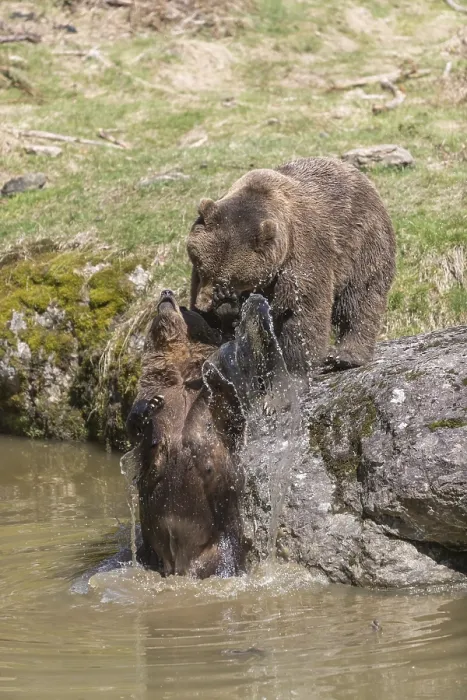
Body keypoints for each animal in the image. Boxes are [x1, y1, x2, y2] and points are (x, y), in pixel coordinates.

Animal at [126, 289, 245, 578]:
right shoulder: (152, 389)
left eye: (185, 307)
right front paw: (146, 411)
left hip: (221, 547)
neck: (179, 375)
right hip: (150, 552)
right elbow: (139, 435)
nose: (166, 293)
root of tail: (182, 563)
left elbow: (229, 409)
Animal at [187, 157, 396, 374]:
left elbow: (300, 309)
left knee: (361, 298)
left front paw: (295, 363)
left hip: (363, 243)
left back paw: (345, 356)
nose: (203, 306)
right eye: (201, 268)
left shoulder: (302, 253)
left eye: (229, 280)